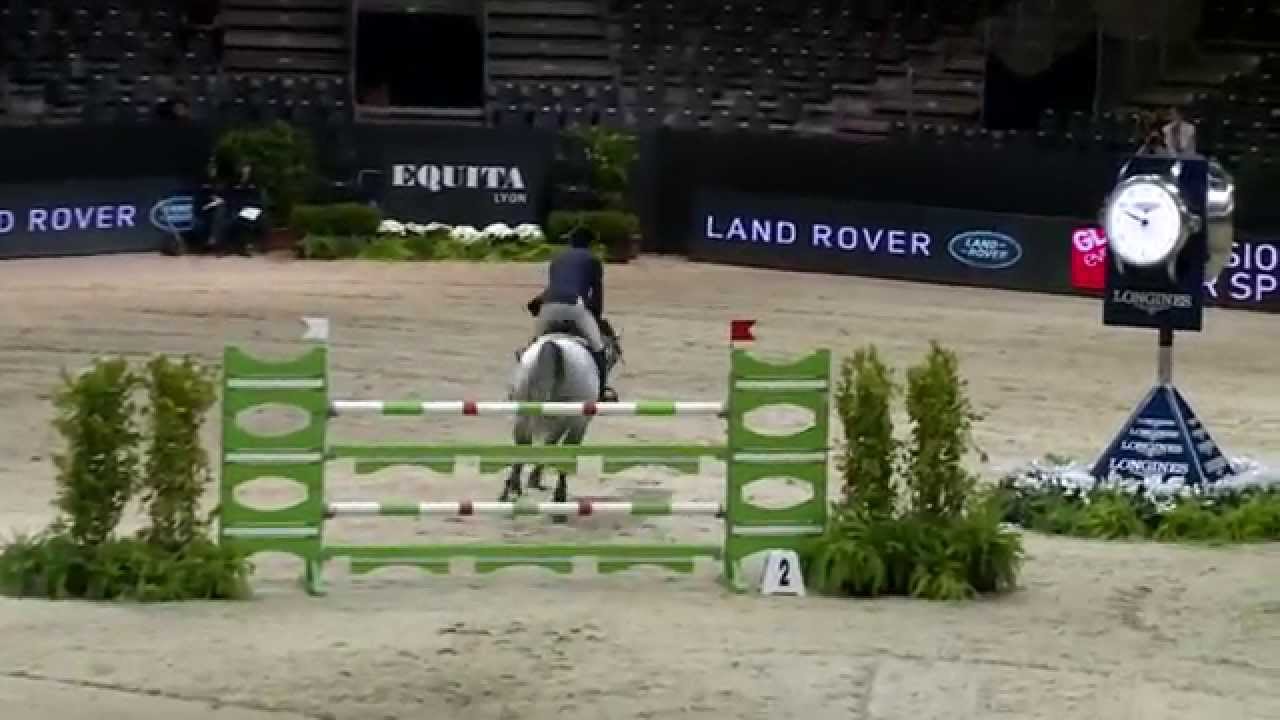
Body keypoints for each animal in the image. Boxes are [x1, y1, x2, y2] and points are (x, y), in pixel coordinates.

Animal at [500, 322, 621, 507]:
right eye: (613, 359)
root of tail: (554, 347)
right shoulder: (573, 422)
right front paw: (537, 480)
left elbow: (549, 444)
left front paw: (534, 479)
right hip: (575, 419)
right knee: (567, 450)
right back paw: (559, 495)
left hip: (524, 411)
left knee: (523, 443)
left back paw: (510, 490)